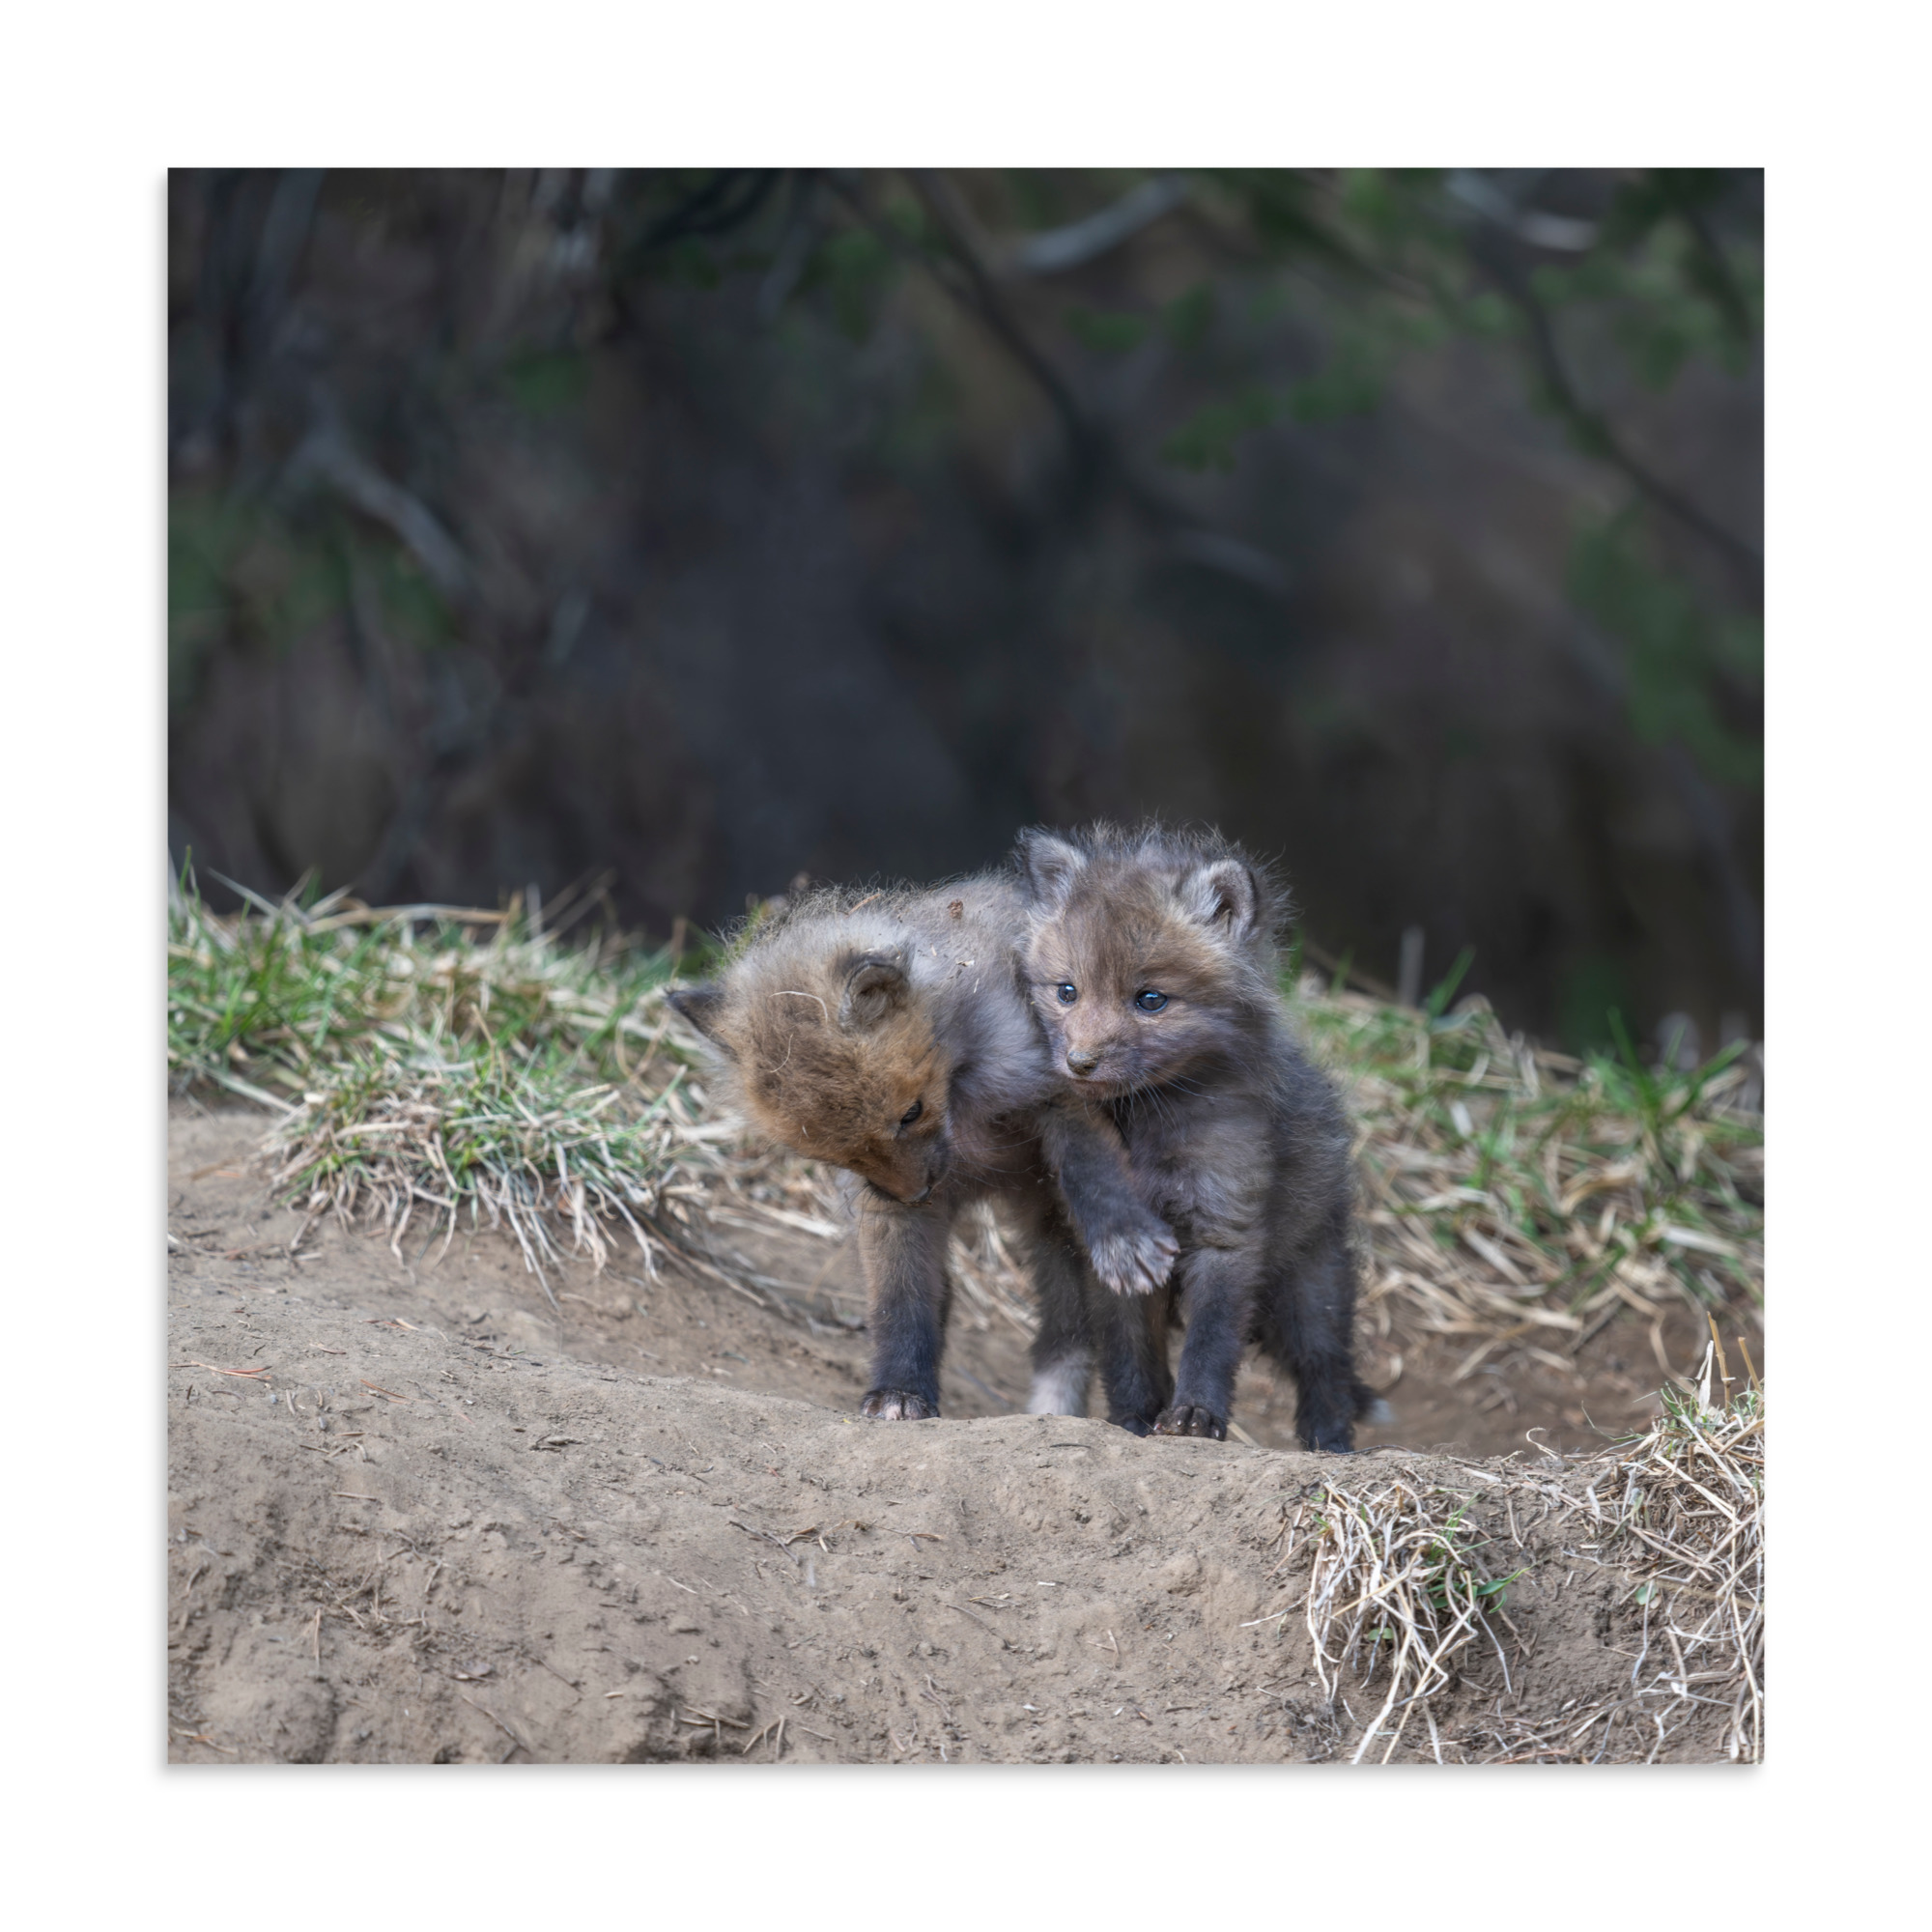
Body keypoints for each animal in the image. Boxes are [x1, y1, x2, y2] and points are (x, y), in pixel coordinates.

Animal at [665, 874, 1179, 1422]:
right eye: (834, 1154)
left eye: (910, 1113)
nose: (915, 1194)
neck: (964, 1104)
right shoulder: (882, 1205)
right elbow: (901, 1301)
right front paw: (900, 1391)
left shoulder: (1060, 1089)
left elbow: (1092, 1170)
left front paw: (1123, 1237)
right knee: (1062, 1331)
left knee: (1121, 1337)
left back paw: (1138, 1418)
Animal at [1014, 822, 1385, 1452]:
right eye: (1067, 992)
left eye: (1150, 1000)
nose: (1079, 1063)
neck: (1147, 1128)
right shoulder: (1116, 1254)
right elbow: (1129, 1354)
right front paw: (1133, 1421)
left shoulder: (1226, 1229)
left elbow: (1211, 1343)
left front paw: (1195, 1416)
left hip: (1309, 1288)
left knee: (1326, 1368)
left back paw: (1330, 1445)